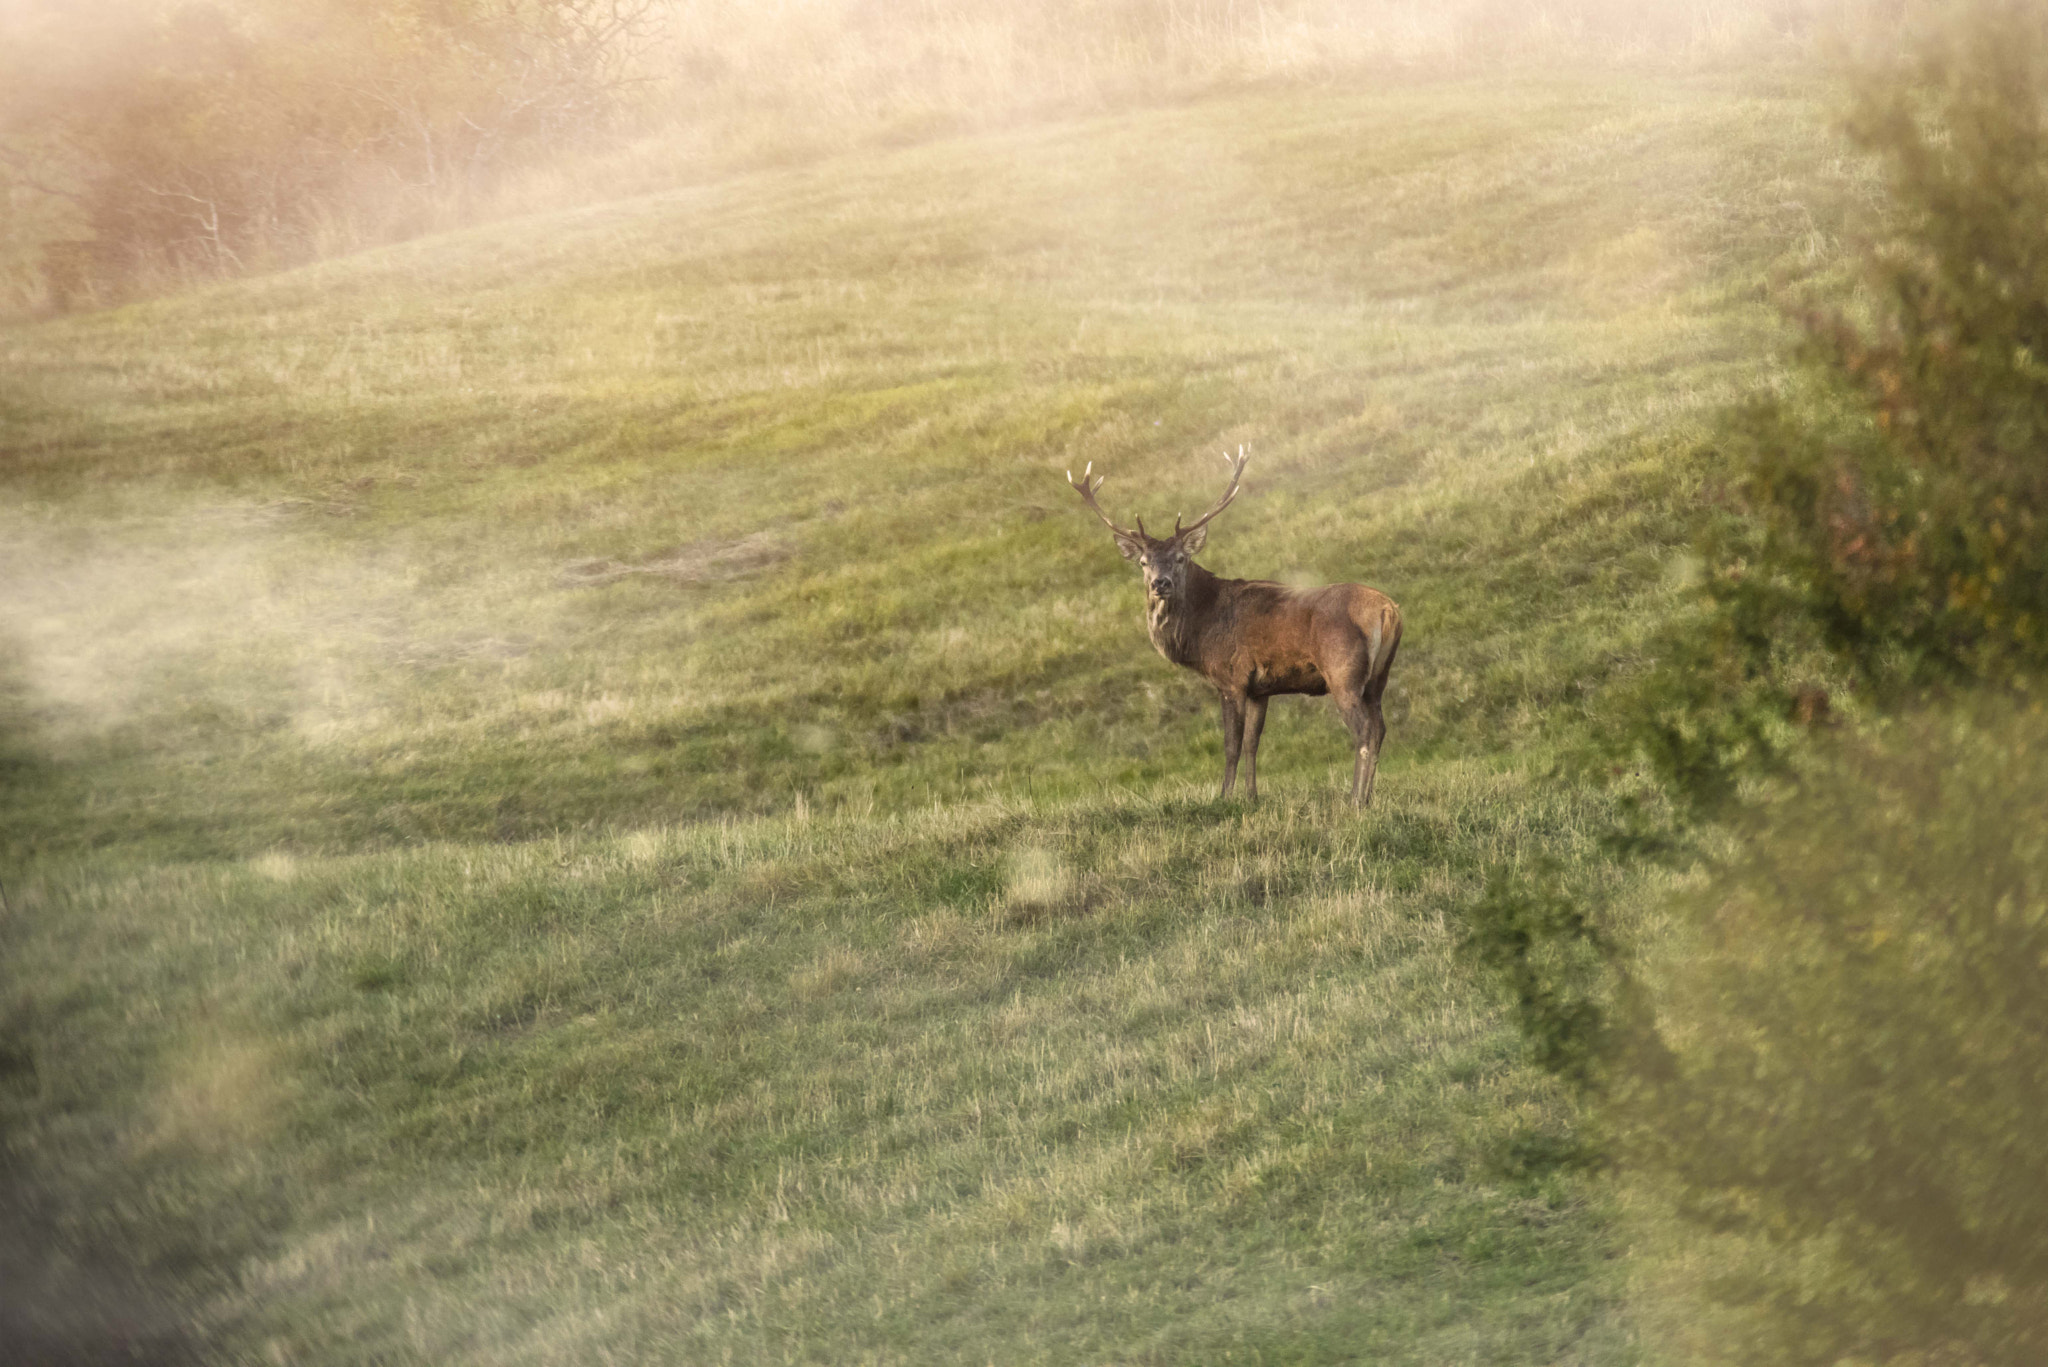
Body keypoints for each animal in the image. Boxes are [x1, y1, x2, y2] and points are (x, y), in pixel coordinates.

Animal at [1068, 447, 1402, 807]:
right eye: (1144, 562)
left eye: (1180, 558)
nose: (1160, 583)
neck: (1200, 634)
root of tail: (1388, 610)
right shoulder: (1260, 688)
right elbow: (1253, 743)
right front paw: (1251, 795)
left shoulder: (1231, 679)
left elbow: (1231, 745)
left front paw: (1224, 796)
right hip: (1378, 678)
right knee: (1380, 728)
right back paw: (1368, 797)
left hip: (1343, 671)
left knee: (1363, 731)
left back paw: (1354, 800)